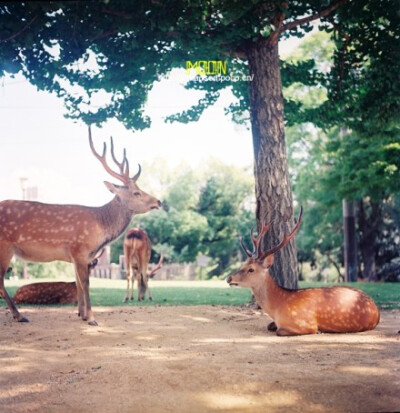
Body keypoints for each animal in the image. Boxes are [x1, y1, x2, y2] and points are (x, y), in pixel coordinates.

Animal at [1, 126, 162, 326]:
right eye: (136, 193)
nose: (159, 201)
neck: (100, 226)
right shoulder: (79, 249)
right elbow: (85, 283)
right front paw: (92, 318)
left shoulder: (77, 255)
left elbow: (78, 283)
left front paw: (83, 314)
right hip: (5, 246)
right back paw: (19, 315)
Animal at [227, 208, 380, 336]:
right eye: (243, 264)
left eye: (251, 269)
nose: (229, 278)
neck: (277, 307)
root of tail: (377, 311)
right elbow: (270, 326)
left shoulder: (306, 323)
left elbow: (280, 331)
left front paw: (319, 331)